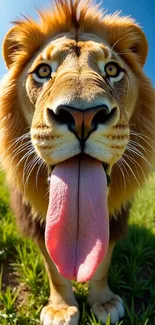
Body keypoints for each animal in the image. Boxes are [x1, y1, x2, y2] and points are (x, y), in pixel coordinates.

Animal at [0, 1, 155, 322]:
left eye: (112, 69)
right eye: (43, 71)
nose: (82, 115)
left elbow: (103, 261)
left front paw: (104, 302)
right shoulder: (35, 218)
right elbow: (53, 267)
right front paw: (60, 308)